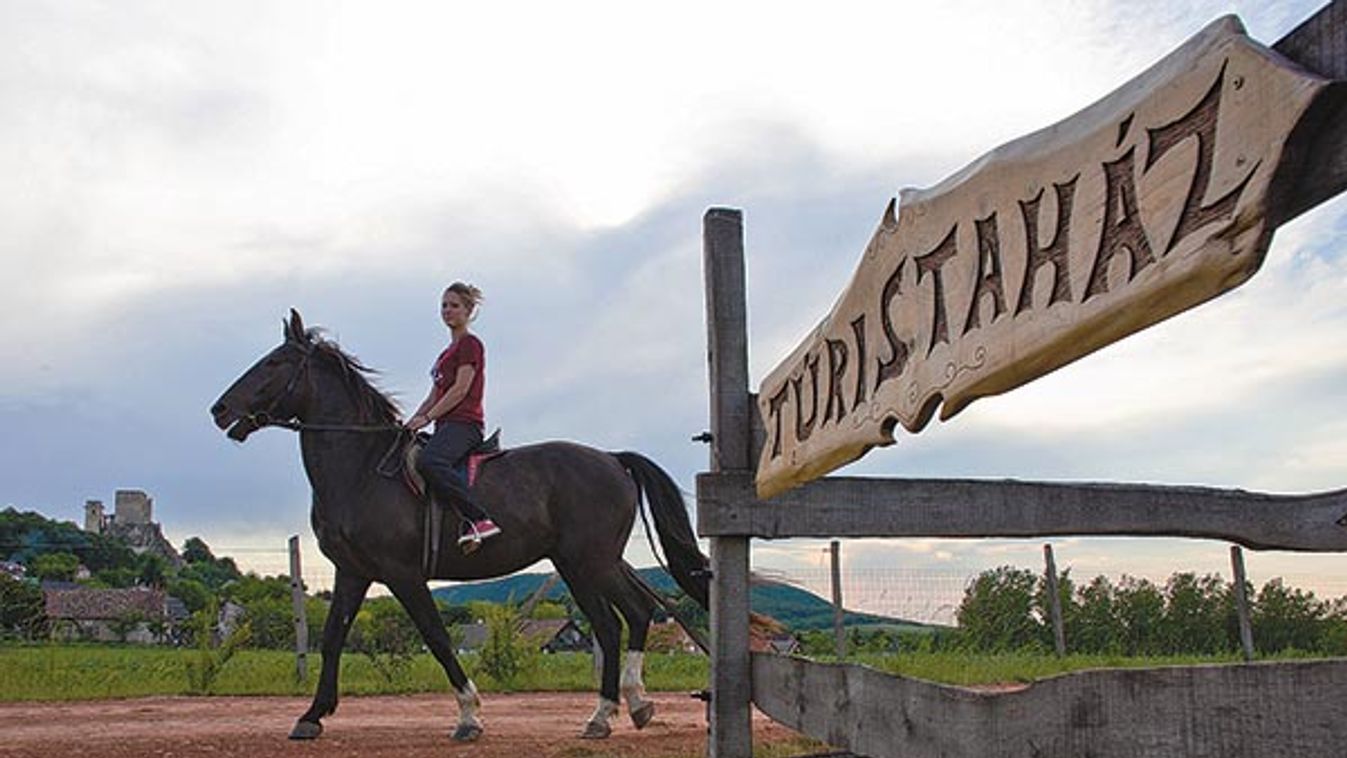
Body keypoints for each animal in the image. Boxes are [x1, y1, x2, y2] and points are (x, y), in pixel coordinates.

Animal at [210, 311, 711, 743]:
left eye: (274, 363)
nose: (218, 409)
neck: (362, 469)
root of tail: (612, 459)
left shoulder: (402, 574)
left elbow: (436, 637)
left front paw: (469, 715)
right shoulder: (352, 572)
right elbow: (332, 639)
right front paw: (312, 716)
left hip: (592, 561)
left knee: (625, 618)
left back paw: (619, 709)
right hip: (581, 564)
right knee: (621, 620)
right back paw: (619, 710)